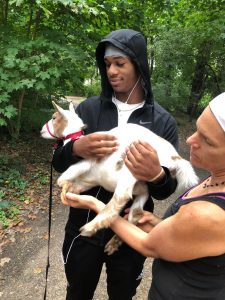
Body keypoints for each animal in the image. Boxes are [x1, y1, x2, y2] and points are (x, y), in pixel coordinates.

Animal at [40, 101, 199, 253]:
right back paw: (113, 244)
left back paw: (89, 228)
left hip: (133, 169)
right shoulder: (88, 180)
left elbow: (68, 172)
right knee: (135, 215)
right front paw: (70, 190)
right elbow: (77, 184)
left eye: (54, 117)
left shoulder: (87, 161)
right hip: (142, 190)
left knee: (121, 198)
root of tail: (176, 159)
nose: (41, 130)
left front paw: (62, 183)